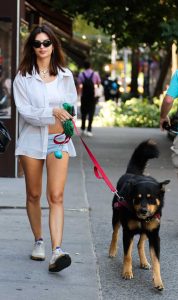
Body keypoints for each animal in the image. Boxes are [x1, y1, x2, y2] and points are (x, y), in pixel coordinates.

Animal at [108, 140, 170, 290]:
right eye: (138, 197)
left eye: (151, 198)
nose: (143, 211)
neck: (140, 218)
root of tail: (132, 173)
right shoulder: (128, 233)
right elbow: (127, 255)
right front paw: (126, 272)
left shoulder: (154, 236)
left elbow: (156, 261)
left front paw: (158, 281)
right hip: (116, 216)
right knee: (115, 233)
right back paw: (112, 250)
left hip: (146, 230)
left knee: (140, 243)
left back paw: (144, 262)